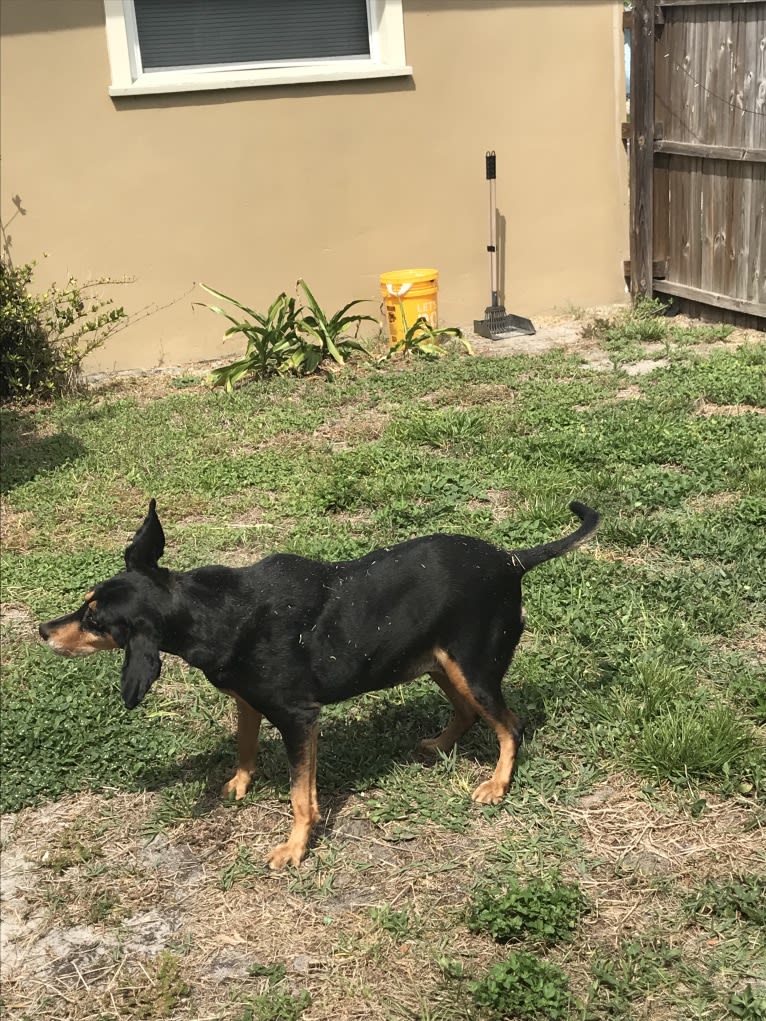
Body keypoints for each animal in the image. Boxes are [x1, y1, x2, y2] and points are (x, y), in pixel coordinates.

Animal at [39, 498, 600, 865]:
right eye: (85, 605)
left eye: (94, 621)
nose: (43, 630)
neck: (208, 610)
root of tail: (511, 560)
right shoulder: (248, 701)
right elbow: (245, 745)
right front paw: (239, 785)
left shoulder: (299, 718)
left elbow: (300, 796)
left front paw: (294, 848)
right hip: (439, 664)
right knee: (467, 712)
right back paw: (438, 746)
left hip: (474, 668)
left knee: (510, 725)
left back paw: (497, 785)